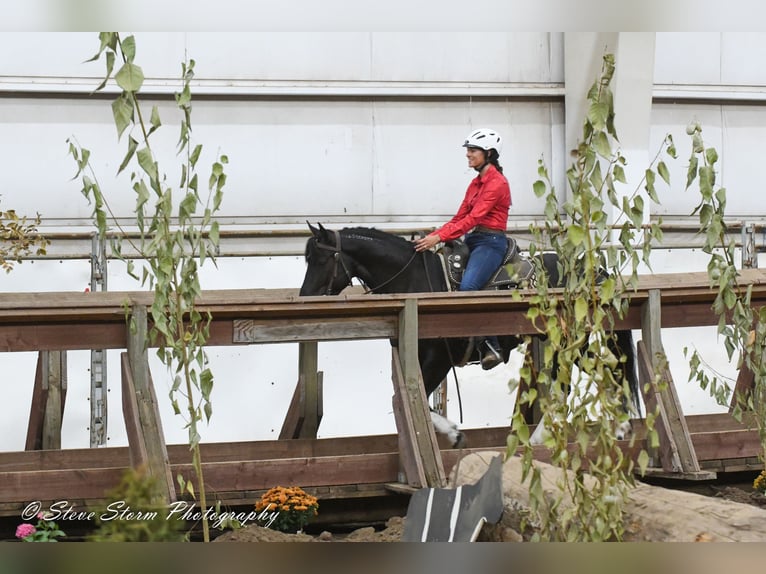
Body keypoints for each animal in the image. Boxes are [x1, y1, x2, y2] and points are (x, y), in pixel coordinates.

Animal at [300, 225, 640, 450]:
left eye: (320, 260)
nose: (303, 297)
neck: (417, 281)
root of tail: (596, 272)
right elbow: (410, 397)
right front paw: (451, 431)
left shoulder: (439, 358)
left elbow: (418, 399)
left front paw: (453, 433)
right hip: (579, 345)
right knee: (609, 373)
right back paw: (621, 426)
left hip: (567, 343)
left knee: (563, 387)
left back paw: (536, 439)